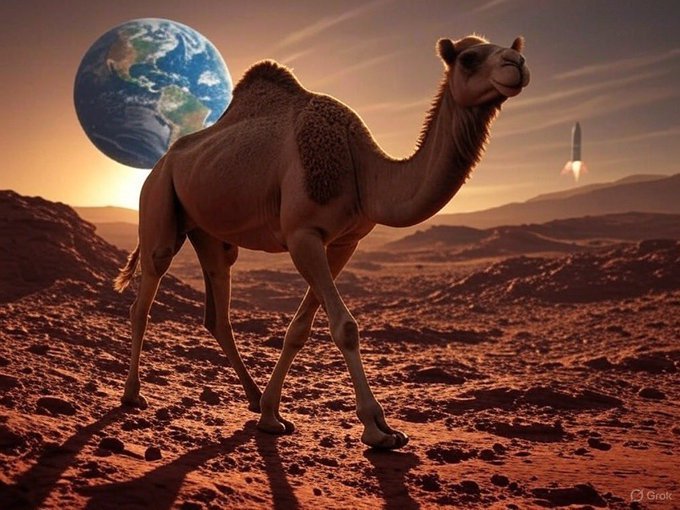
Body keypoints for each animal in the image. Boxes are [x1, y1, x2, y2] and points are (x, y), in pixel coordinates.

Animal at [114, 34, 530, 449]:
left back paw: (251, 396)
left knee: (218, 309)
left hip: (211, 233)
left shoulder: (344, 243)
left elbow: (300, 328)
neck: (362, 170)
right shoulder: (303, 234)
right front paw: (377, 428)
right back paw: (133, 394)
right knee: (144, 296)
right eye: (469, 58)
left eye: (511, 49)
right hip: (159, 198)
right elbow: (344, 327)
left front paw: (270, 414)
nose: (518, 64)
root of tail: (161, 161)